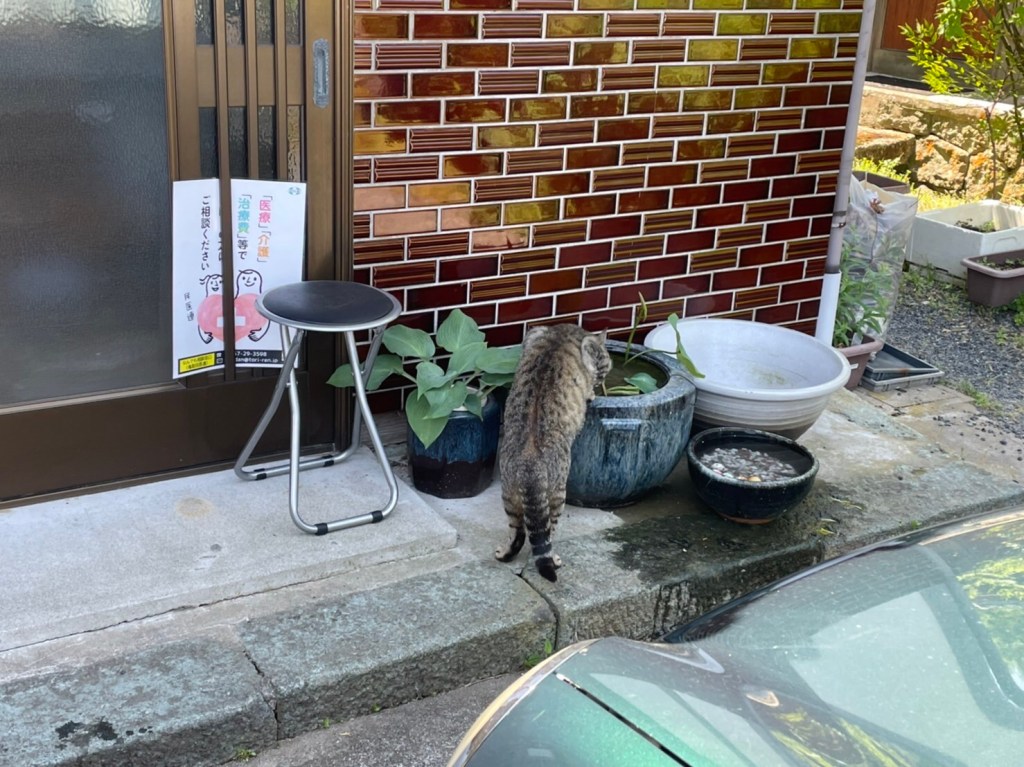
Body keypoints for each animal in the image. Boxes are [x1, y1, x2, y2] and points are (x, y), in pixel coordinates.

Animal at [495, 324, 611, 581]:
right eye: (605, 366)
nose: (603, 378)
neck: (564, 334)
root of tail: (530, 467)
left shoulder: (533, 334)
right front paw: (591, 392)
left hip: (509, 494)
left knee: (518, 532)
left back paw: (504, 553)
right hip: (557, 494)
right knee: (545, 535)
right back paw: (554, 559)